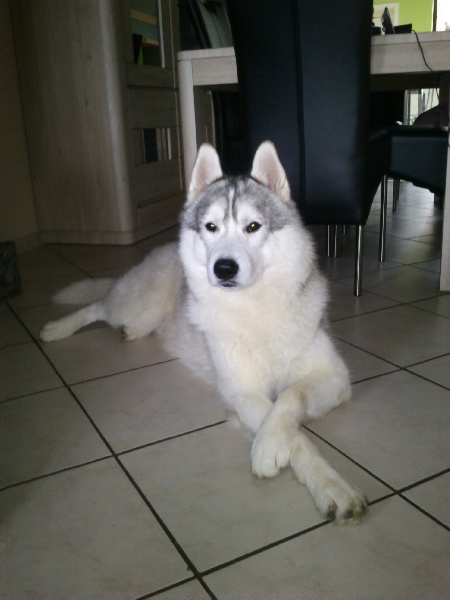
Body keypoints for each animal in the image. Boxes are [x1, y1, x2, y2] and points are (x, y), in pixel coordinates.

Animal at [41, 141, 367, 523]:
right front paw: (284, 457)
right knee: (97, 305)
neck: (255, 309)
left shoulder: (334, 377)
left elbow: (290, 397)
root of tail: (162, 250)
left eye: (253, 226)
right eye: (211, 227)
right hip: (139, 305)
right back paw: (57, 328)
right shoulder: (241, 392)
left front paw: (327, 481)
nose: (224, 268)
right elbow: (298, 438)